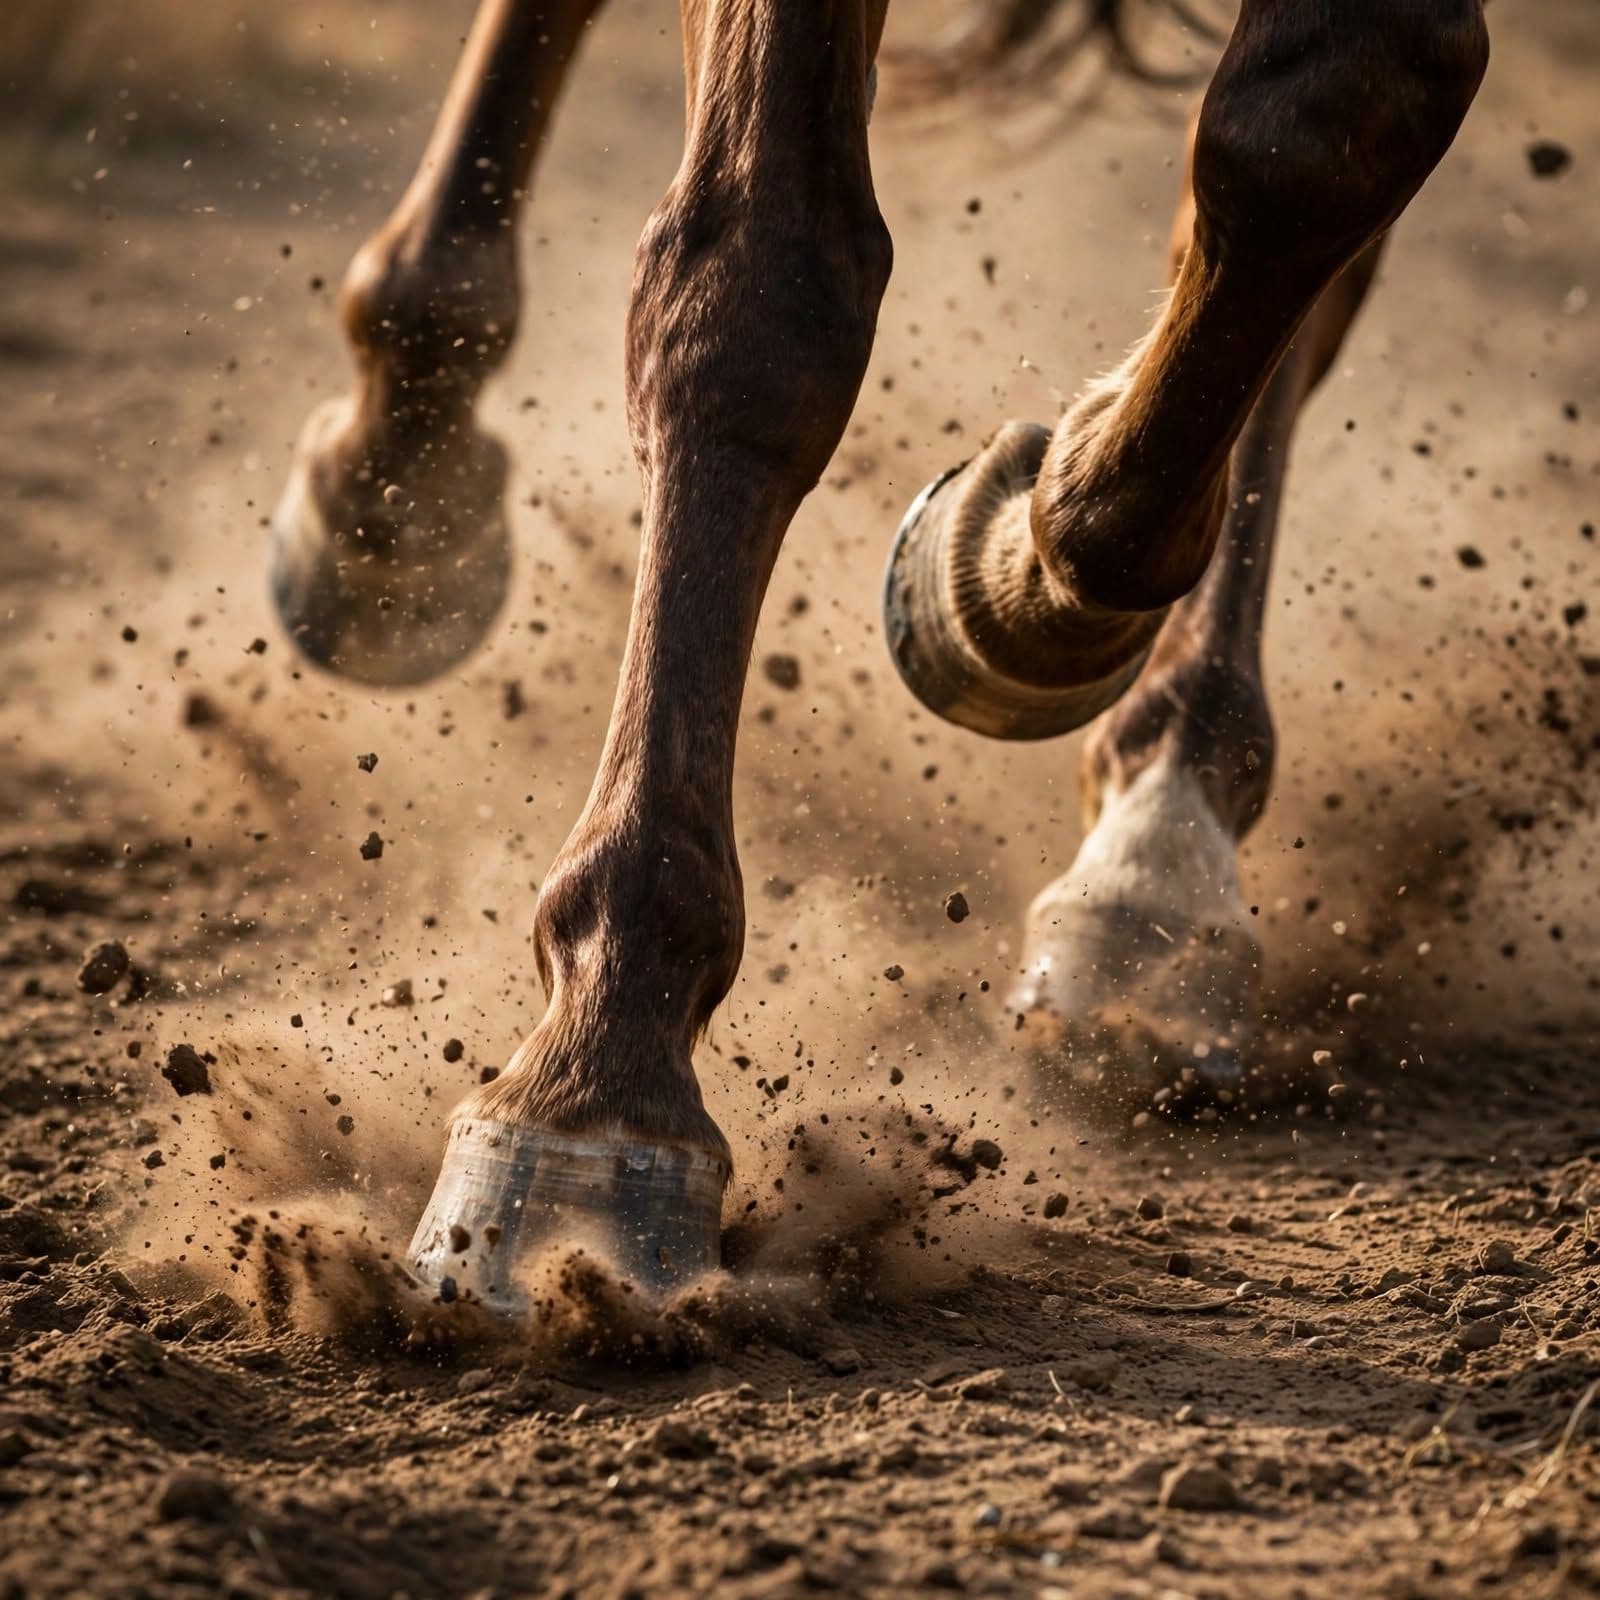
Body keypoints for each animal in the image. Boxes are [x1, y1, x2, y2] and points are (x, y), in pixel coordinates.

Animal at [266, 0, 1490, 1306]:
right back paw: (393, 487)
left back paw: (1158, 852)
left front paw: (1011, 575)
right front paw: (591, 1102)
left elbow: (1321, 132)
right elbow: (756, 290)